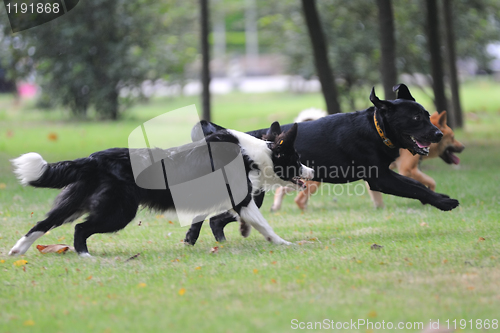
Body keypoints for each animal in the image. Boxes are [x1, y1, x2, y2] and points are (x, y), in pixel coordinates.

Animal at [8, 123, 312, 255]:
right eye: (297, 160)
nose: (312, 171)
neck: (254, 154)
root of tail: (94, 159)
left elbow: (204, 220)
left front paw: (192, 240)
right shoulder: (242, 200)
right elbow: (264, 224)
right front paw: (283, 243)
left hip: (75, 202)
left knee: (43, 223)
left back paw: (17, 251)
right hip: (119, 211)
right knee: (80, 229)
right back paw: (85, 256)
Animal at [272, 111, 462, 210]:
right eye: (452, 137)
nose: (463, 147)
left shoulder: (384, 174)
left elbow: (417, 185)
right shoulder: (398, 172)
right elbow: (425, 184)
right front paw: (440, 201)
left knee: (285, 190)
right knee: (297, 197)